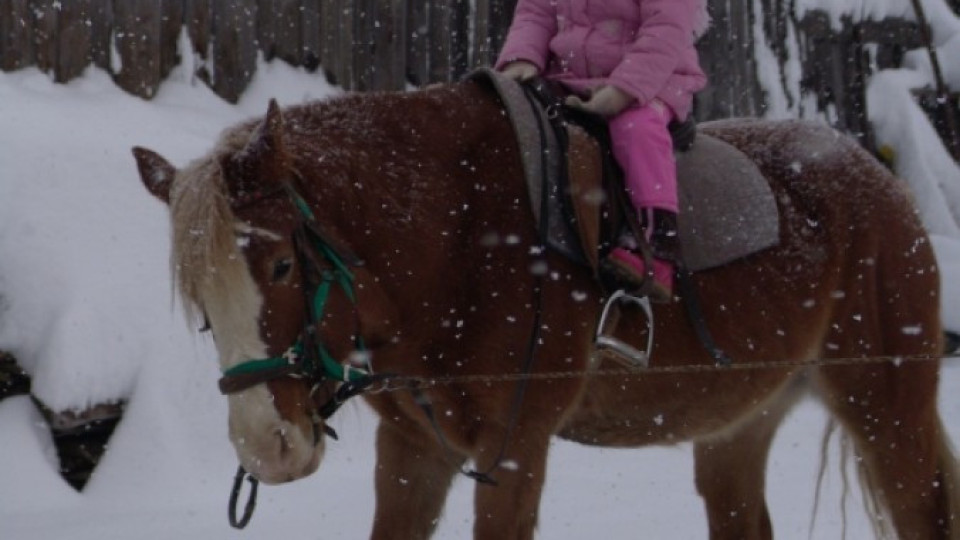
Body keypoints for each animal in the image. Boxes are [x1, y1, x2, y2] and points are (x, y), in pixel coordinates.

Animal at [131, 81, 956, 540]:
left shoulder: (514, 449)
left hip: (887, 407)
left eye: (278, 265)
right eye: (201, 303)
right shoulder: (414, 453)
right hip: (736, 428)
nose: (266, 448)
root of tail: (879, 181)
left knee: (927, 510)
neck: (457, 238)